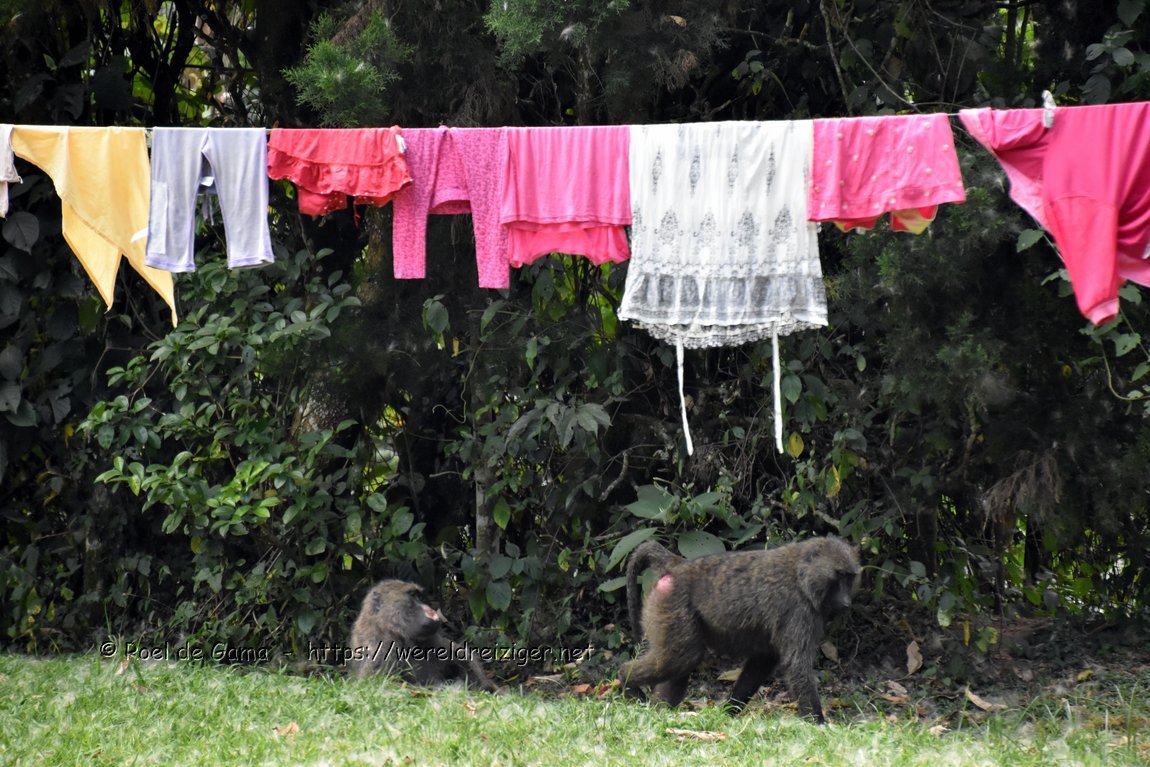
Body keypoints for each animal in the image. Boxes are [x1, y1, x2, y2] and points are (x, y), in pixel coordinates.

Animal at [348, 579, 496, 691]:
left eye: (419, 597)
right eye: (412, 596)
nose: (428, 608)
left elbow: (461, 654)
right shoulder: (384, 646)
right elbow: (383, 686)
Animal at [620, 535, 860, 721]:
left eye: (850, 578)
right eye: (839, 576)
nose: (847, 603)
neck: (801, 573)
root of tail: (677, 564)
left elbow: (763, 661)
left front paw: (728, 712)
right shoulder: (797, 608)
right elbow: (796, 664)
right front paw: (818, 723)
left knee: (680, 663)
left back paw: (661, 710)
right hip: (672, 604)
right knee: (681, 658)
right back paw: (626, 681)